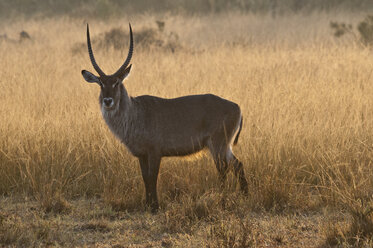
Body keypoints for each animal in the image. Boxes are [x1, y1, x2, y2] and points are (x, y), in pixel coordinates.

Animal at [83, 23, 248, 213]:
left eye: (117, 82)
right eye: (101, 83)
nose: (108, 101)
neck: (134, 114)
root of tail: (237, 106)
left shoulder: (155, 152)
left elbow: (153, 176)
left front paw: (155, 206)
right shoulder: (141, 155)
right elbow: (145, 177)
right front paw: (147, 204)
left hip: (218, 145)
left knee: (223, 169)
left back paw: (222, 199)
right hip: (225, 146)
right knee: (238, 165)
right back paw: (245, 195)